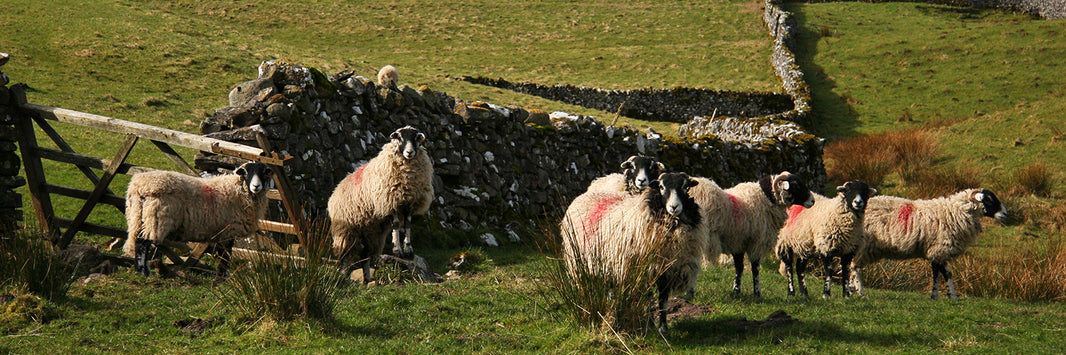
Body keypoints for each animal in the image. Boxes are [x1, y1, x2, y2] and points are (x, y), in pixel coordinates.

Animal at [122, 160, 272, 277]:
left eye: (264, 173)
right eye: (246, 173)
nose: (256, 186)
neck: (237, 189)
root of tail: (138, 185)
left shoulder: (221, 232)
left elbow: (223, 255)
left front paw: (221, 276)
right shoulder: (228, 230)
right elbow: (225, 256)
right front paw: (224, 277)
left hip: (137, 217)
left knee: (137, 242)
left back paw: (139, 271)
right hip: (154, 218)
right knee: (142, 243)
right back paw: (144, 272)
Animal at [330, 124, 434, 281]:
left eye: (416, 138)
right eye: (400, 138)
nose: (409, 152)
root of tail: (337, 188)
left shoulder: (409, 203)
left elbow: (407, 225)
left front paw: (408, 250)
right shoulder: (390, 202)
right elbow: (396, 225)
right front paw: (397, 250)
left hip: (370, 230)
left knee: (365, 254)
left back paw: (367, 278)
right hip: (346, 227)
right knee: (345, 253)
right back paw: (343, 274)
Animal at [558, 171, 707, 332]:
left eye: (686, 187)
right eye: (661, 187)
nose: (674, 207)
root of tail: (585, 194)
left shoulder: (668, 270)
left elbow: (663, 301)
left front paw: (663, 328)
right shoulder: (642, 269)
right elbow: (646, 299)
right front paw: (650, 324)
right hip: (578, 262)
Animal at [848, 187, 1006, 298]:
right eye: (989, 200)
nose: (1005, 214)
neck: (956, 211)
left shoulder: (939, 251)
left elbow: (943, 273)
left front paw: (945, 296)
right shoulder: (939, 249)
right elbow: (942, 274)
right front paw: (944, 296)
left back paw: (850, 290)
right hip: (863, 245)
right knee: (854, 267)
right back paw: (860, 292)